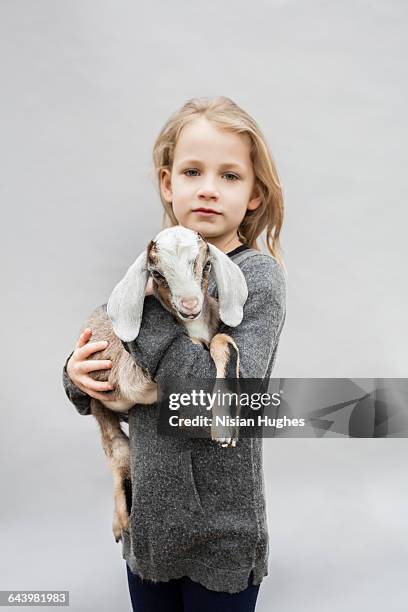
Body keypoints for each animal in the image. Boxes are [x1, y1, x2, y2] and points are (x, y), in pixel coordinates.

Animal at [78, 226, 247, 540]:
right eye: (156, 273)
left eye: (206, 264)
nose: (190, 306)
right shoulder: (133, 375)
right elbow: (194, 346)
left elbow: (222, 340)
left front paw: (226, 425)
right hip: (106, 417)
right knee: (120, 461)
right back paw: (122, 522)